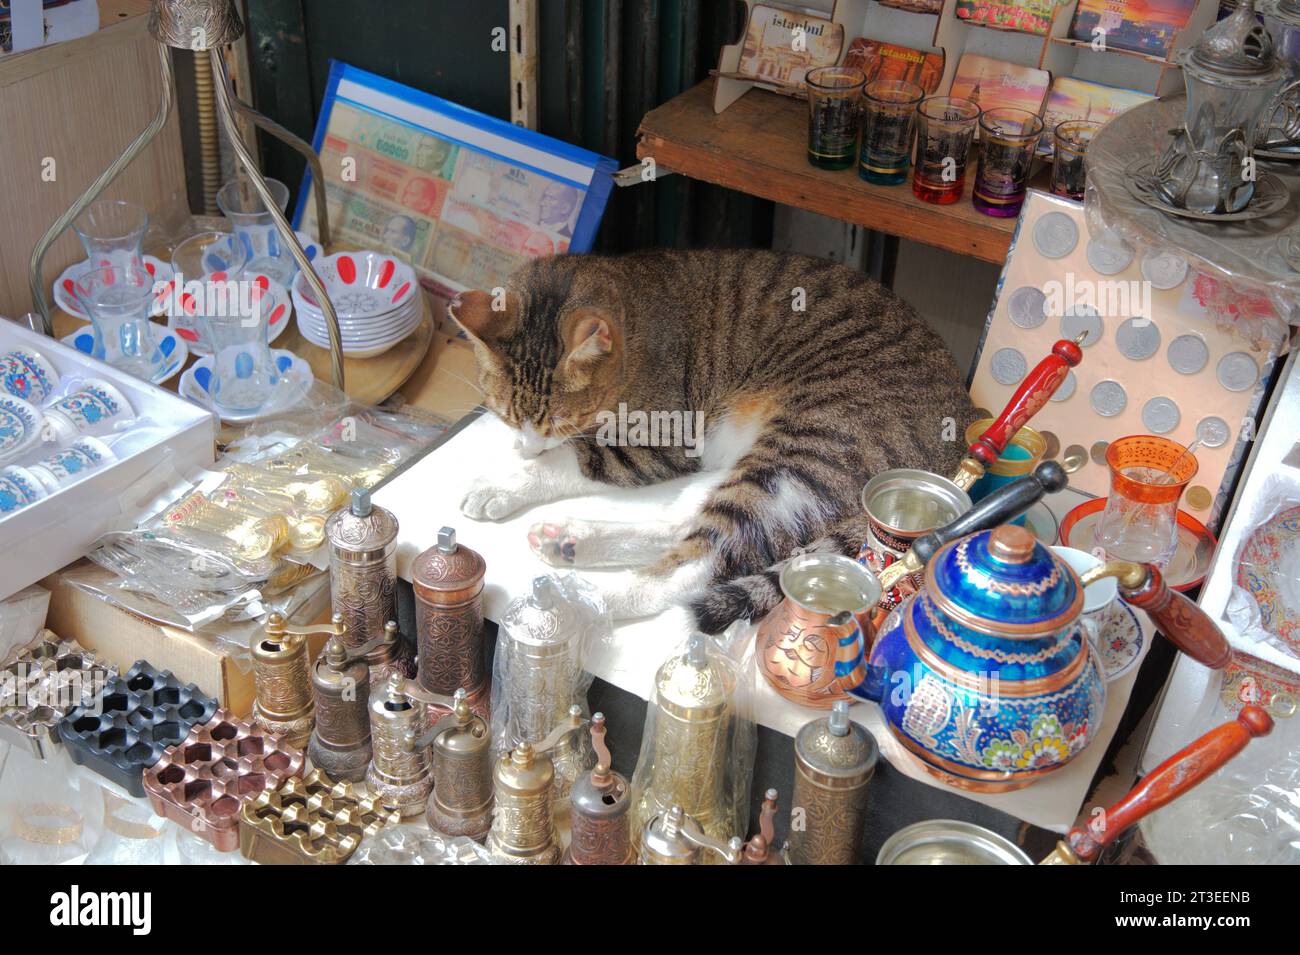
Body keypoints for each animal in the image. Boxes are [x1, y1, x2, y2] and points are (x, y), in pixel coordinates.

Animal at [449, 250, 977, 631]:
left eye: (562, 421)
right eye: (502, 413)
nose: (525, 445)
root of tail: (957, 440)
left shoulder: (663, 438)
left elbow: (571, 458)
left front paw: (505, 481)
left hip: (799, 456)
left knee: (700, 562)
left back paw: (581, 599)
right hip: (753, 470)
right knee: (692, 527)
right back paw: (572, 541)